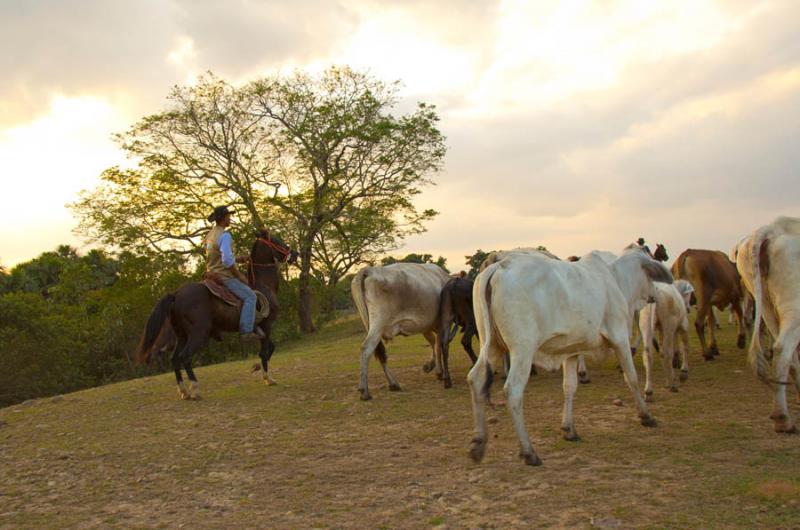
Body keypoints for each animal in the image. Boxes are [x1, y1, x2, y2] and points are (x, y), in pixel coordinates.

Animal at [134, 229, 296, 398]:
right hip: (198, 333)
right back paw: (195, 389)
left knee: (175, 359)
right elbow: (265, 352)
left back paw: (184, 391)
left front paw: (260, 371)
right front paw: (268, 378)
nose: (295, 254)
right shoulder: (267, 325)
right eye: (277, 240)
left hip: (182, 335)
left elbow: (269, 349)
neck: (263, 285)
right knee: (185, 357)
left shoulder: (261, 329)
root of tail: (175, 294)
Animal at [350, 262, 450, 398]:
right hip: (378, 323)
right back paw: (365, 391)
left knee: (380, 353)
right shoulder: (439, 323)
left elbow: (433, 342)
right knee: (367, 349)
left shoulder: (426, 324)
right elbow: (438, 345)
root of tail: (368, 270)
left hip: (368, 322)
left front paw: (431, 366)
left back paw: (393, 384)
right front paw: (439, 371)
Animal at [466, 248, 672, 462]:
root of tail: (500, 265)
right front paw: (646, 416)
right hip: (522, 349)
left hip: (491, 346)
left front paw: (569, 429)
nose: (656, 294)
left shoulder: (571, 352)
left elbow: (569, 387)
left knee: (476, 379)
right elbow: (631, 378)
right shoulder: (620, 338)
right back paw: (528, 451)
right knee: (513, 390)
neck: (616, 278)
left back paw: (478, 443)